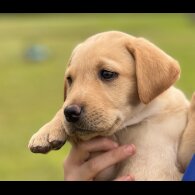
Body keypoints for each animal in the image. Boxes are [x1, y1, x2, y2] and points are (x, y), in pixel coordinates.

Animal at [28, 30, 194, 181]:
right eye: (70, 79)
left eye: (107, 74)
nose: (70, 113)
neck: (139, 121)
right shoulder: (103, 167)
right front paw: (47, 131)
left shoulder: (182, 155)